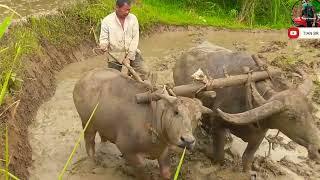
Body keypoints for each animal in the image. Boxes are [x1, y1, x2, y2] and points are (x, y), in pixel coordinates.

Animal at [72, 68, 212, 179]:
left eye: (198, 118)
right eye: (176, 111)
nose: (188, 141)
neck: (153, 120)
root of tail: (83, 78)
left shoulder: (164, 152)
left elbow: (166, 173)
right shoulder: (128, 151)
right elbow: (142, 171)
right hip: (87, 123)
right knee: (89, 141)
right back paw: (93, 162)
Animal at [174, 41, 320, 172]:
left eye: (312, 110)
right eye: (291, 116)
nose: (317, 148)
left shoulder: (259, 135)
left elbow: (247, 158)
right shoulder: (218, 126)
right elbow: (220, 156)